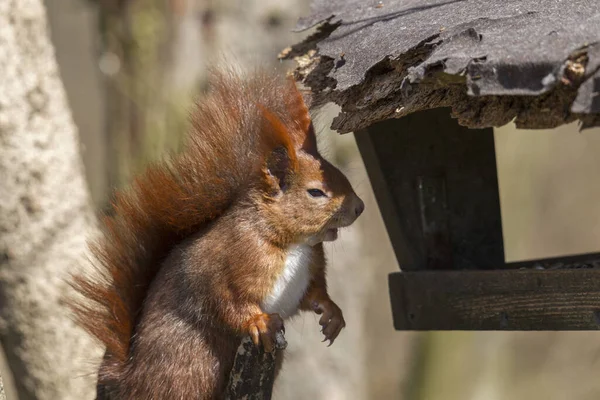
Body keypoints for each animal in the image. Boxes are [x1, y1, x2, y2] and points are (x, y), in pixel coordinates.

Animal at [68, 67, 364, 398]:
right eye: (315, 192)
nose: (360, 207)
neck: (293, 243)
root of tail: (127, 382)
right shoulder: (226, 263)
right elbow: (224, 300)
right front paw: (259, 321)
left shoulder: (309, 274)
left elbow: (314, 295)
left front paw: (332, 314)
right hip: (189, 368)